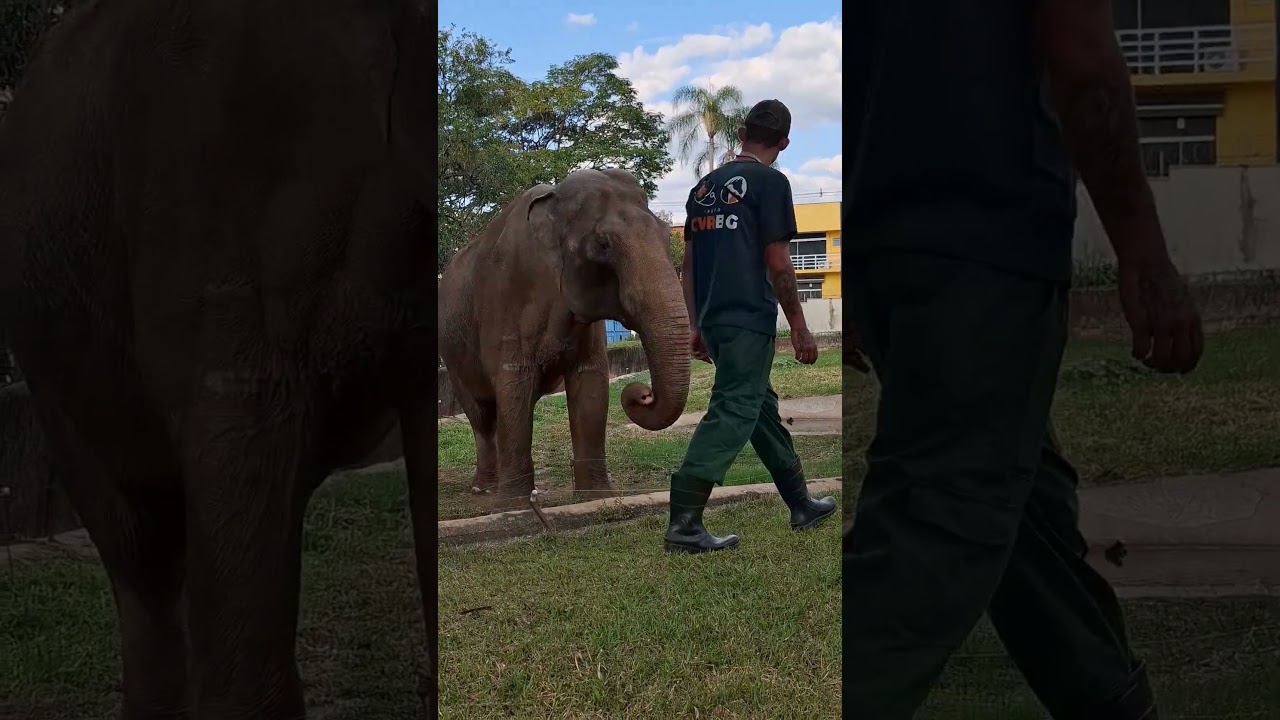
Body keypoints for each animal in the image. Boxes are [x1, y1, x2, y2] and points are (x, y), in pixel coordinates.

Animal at [439, 169, 691, 510]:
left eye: (667, 235)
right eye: (602, 244)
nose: (642, 394)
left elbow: (591, 383)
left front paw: (596, 497)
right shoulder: (504, 296)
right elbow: (513, 382)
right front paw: (513, 506)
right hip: (453, 357)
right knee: (481, 414)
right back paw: (485, 489)